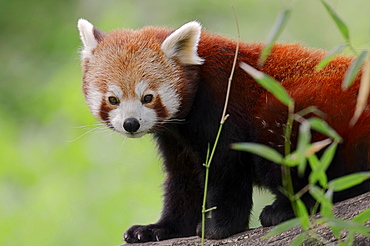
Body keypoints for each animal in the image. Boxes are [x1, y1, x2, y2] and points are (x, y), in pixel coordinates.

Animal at [76, 19, 368, 242]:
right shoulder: (176, 140)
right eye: (113, 99)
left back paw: (286, 208)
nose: (131, 124)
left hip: (303, 110)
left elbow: (226, 171)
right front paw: (157, 229)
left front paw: (220, 228)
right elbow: (185, 182)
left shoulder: (222, 107)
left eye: (148, 97)